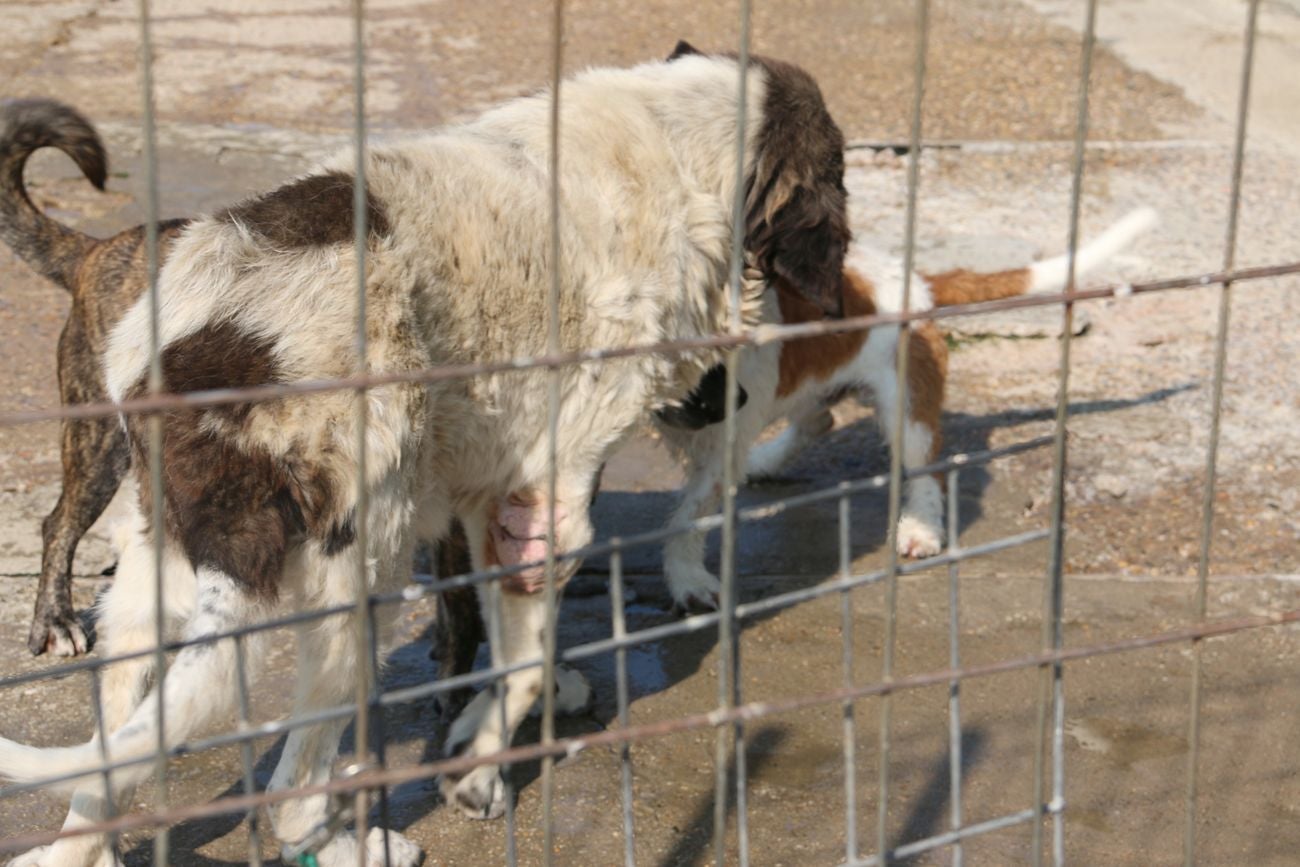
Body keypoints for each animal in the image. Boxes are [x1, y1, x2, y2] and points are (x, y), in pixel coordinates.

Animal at [660, 206, 1159, 608]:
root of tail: (916, 282)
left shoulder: (717, 447)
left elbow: (688, 517)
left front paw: (689, 582)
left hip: (907, 410)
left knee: (927, 473)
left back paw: (920, 532)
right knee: (820, 418)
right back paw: (763, 462)